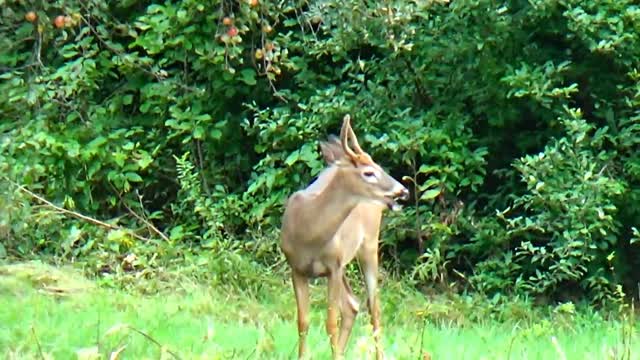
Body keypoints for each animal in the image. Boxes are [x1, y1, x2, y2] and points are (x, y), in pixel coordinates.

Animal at [282, 116, 410, 360]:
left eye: (379, 166)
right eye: (369, 172)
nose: (403, 191)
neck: (309, 232)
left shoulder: (334, 266)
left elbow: (331, 322)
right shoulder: (297, 268)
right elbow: (303, 321)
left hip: (368, 246)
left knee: (374, 308)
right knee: (352, 305)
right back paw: (340, 354)